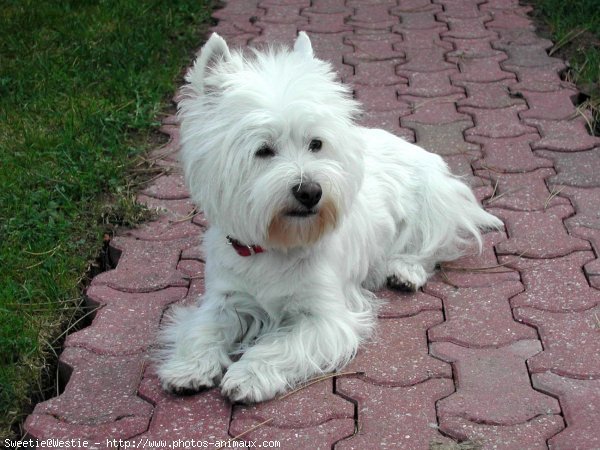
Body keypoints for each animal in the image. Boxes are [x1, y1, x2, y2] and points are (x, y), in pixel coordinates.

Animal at [155, 32, 502, 404]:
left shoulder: (324, 317)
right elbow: (201, 330)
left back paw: (405, 271)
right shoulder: (225, 299)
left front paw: (248, 375)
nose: (310, 192)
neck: (276, 245)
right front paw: (187, 369)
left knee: (431, 249)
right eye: (263, 150)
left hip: (433, 205)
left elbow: (280, 345)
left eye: (316, 143)